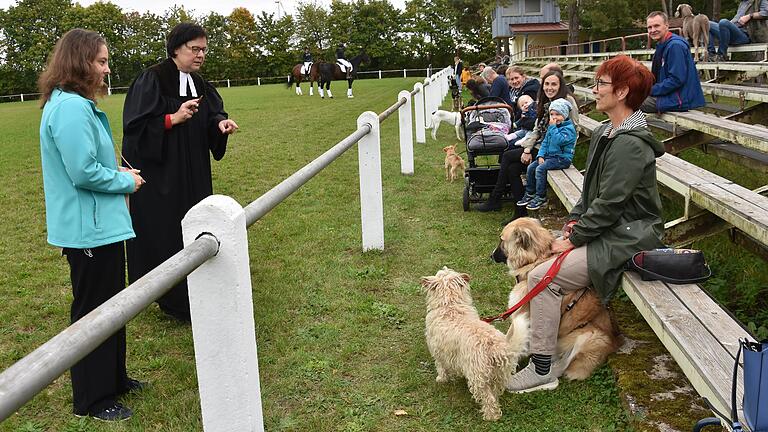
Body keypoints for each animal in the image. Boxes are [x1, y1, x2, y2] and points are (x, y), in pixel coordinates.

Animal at [424, 266, 524, 422]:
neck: (450, 306)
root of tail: (494, 347)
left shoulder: (438, 352)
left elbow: (441, 367)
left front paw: (441, 379)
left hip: (478, 376)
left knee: (488, 398)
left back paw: (490, 416)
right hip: (500, 373)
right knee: (495, 391)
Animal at [488, 218, 620, 380]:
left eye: (502, 240)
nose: (491, 256)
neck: (536, 259)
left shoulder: (523, 314)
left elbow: (512, 340)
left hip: (589, 337)